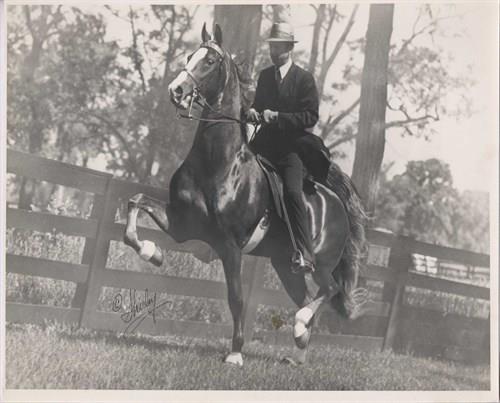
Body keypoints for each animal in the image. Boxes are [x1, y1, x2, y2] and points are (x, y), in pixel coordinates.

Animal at [124, 23, 368, 368]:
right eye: (190, 55)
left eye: (210, 61)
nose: (176, 91)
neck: (218, 163)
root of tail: (334, 200)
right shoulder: (181, 224)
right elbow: (136, 203)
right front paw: (152, 252)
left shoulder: (230, 247)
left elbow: (236, 298)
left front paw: (236, 353)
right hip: (284, 266)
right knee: (307, 298)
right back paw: (298, 349)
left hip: (320, 264)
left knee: (328, 290)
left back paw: (300, 326)